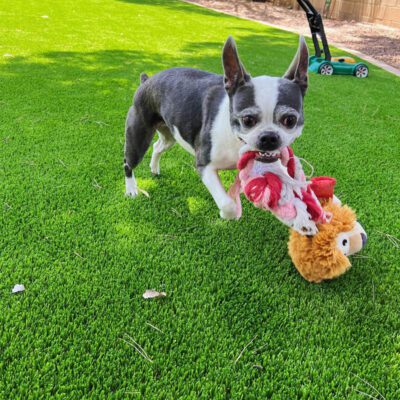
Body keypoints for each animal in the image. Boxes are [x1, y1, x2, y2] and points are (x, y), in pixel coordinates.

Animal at [124, 36, 310, 223]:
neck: (236, 141)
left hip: (169, 135)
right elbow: (228, 204)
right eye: (247, 120)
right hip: (138, 136)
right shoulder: (204, 166)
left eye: (290, 120)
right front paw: (227, 214)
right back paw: (131, 189)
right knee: (128, 162)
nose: (269, 137)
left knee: (157, 147)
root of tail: (147, 80)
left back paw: (154, 168)